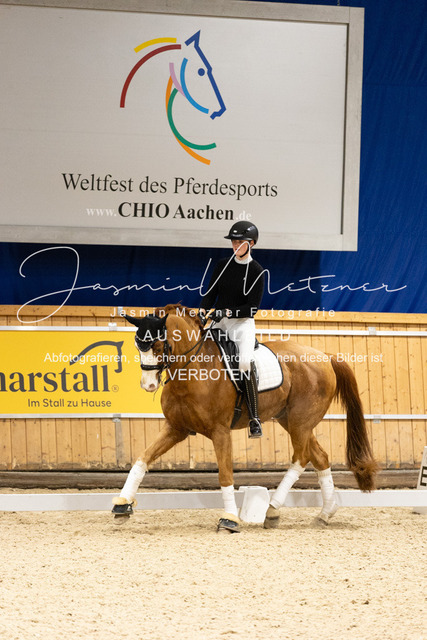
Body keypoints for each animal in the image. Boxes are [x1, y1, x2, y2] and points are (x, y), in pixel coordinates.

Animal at [112, 304, 378, 532]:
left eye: (159, 346)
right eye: (138, 347)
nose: (148, 385)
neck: (193, 370)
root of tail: (324, 356)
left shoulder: (220, 431)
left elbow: (225, 474)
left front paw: (229, 519)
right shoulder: (176, 428)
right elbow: (142, 459)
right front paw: (122, 505)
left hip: (300, 422)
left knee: (301, 458)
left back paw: (273, 510)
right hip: (293, 421)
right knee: (320, 457)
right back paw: (325, 513)